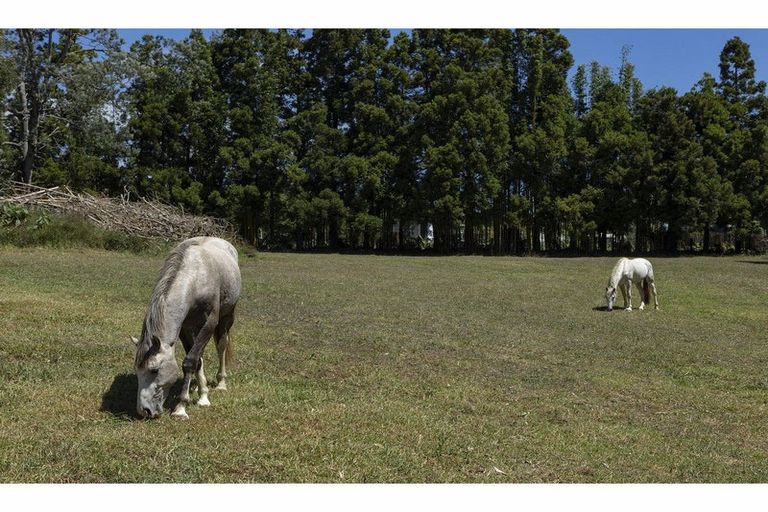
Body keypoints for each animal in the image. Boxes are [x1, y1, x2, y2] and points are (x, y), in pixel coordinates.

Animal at [131, 236, 240, 420]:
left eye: (154, 370)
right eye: (137, 371)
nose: (144, 411)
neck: (195, 277)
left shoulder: (209, 323)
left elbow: (190, 362)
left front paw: (181, 407)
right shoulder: (184, 328)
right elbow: (195, 358)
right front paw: (202, 394)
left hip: (226, 317)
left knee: (221, 346)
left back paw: (221, 383)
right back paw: (196, 387)